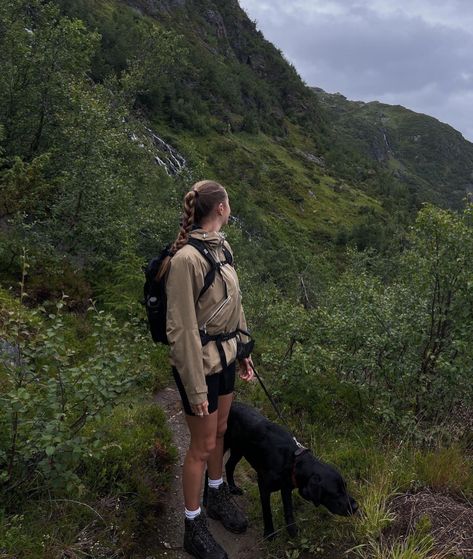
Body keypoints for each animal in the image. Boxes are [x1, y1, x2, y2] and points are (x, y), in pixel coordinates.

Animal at [223, 404, 356, 540]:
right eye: (336, 492)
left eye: (345, 487)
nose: (355, 507)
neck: (292, 460)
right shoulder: (263, 486)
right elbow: (267, 511)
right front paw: (269, 533)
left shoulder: (286, 487)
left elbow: (289, 511)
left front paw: (292, 532)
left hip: (239, 450)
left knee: (229, 466)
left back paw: (233, 488)